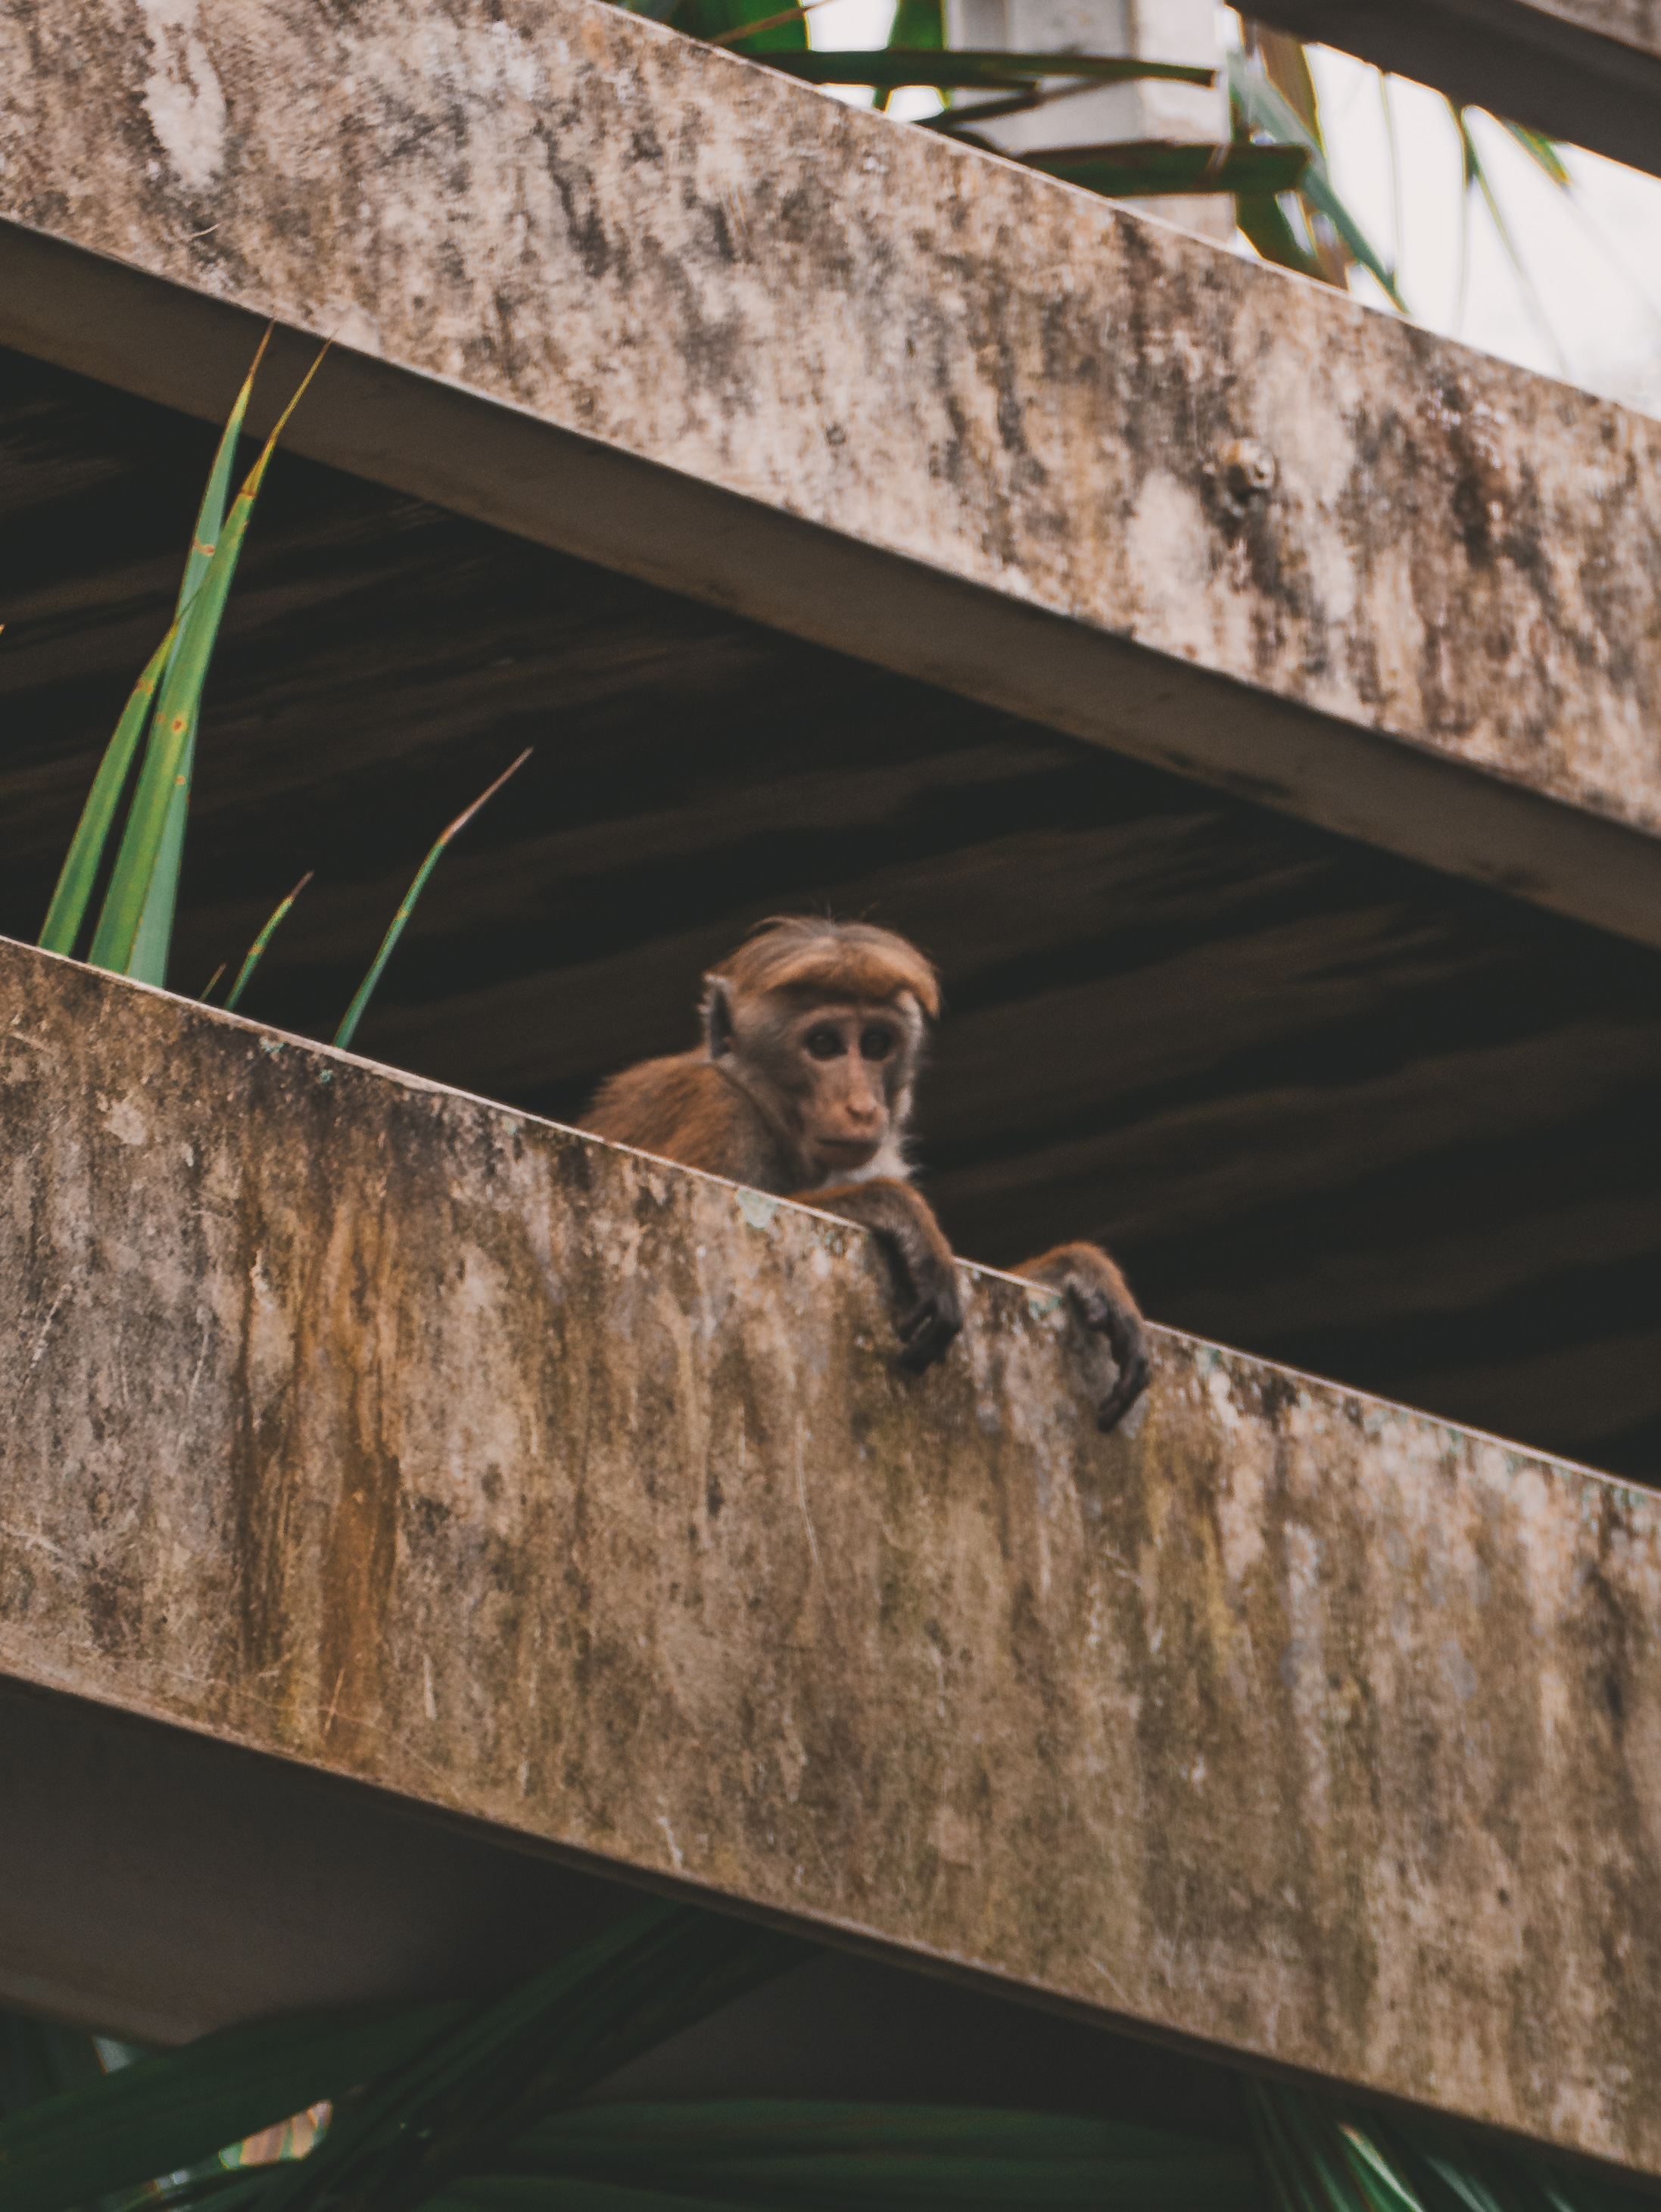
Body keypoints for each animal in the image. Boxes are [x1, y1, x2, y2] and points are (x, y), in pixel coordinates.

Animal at [588, 915, 1158, 1433]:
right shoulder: (715, 1111)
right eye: (823, 1044)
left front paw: (1074, 1270)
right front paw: (898, 1210)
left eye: (877, 1044)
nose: (864, 1107)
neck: (768, 1109)